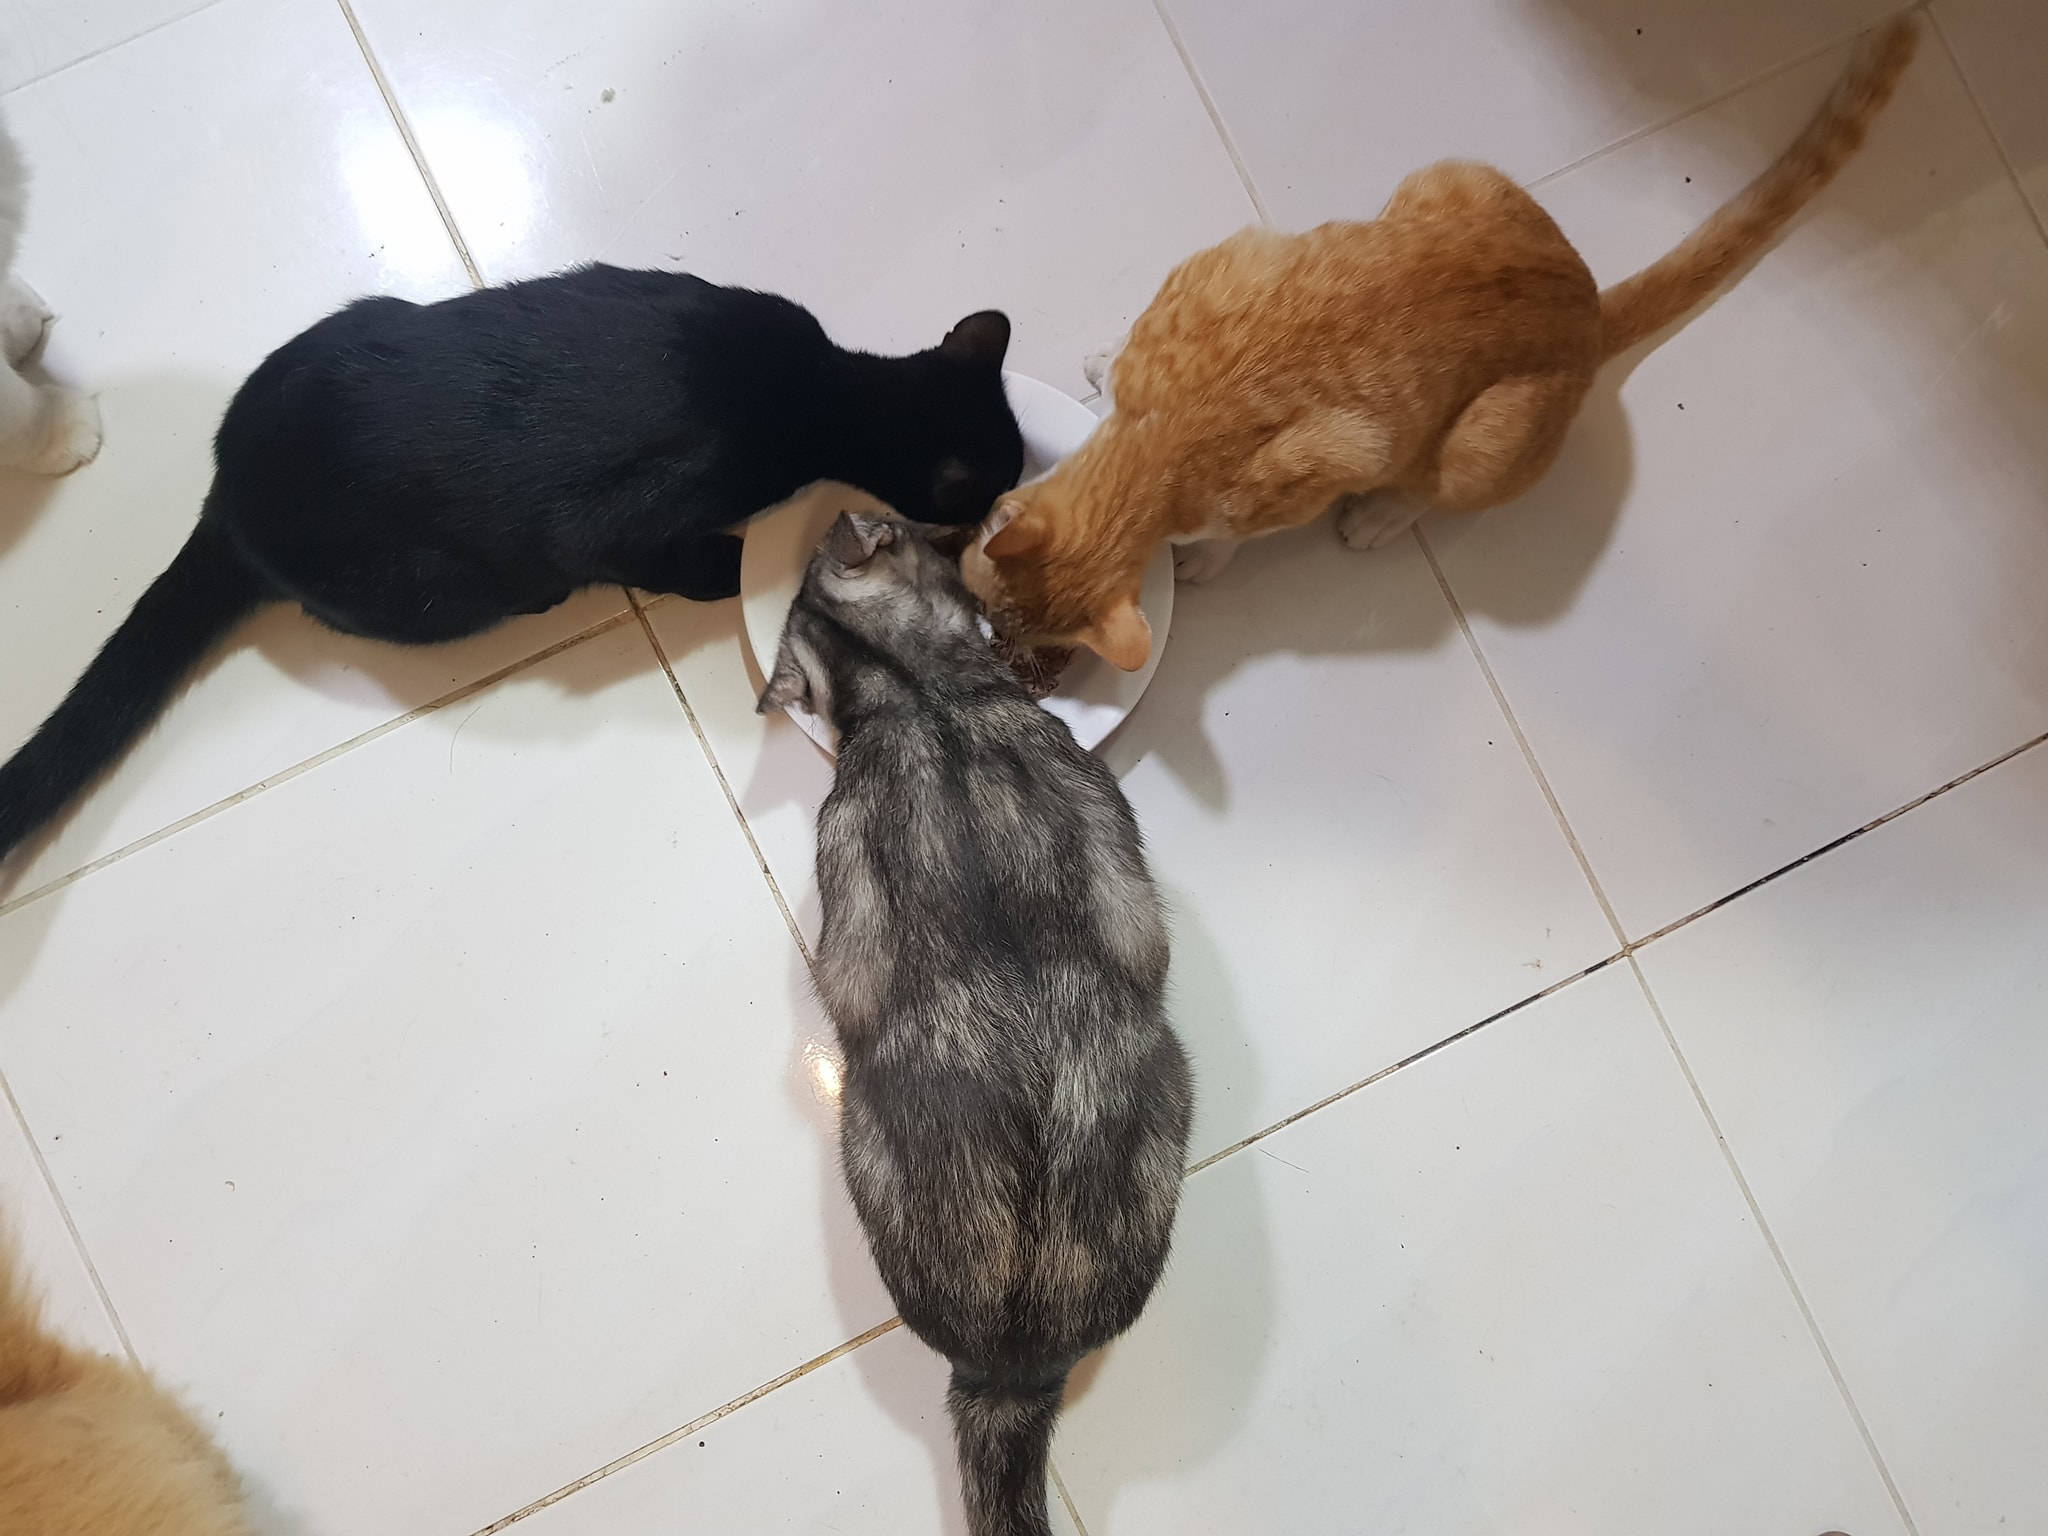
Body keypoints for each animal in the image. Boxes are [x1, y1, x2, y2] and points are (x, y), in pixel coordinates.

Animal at [0, 266, 1024, 864]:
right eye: (1000, 480)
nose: (1006, 515)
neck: (821, 387)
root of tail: (225, 498)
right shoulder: (628, 518)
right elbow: (662, 559)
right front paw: (730, 566)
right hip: (437, 588)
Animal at [962, 15, 1919, 671]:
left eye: (1002, 621)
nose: (989, 644)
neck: (1161, 438)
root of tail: (1585, 311)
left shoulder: (1321, 464)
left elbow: (1241, 531)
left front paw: (1206, 557)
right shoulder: (1229, 263)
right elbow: (1127, 345)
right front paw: (1103, 362)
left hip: (1481, 446)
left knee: (1435, 488)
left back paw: (1384, 515)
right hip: (1444, 176)